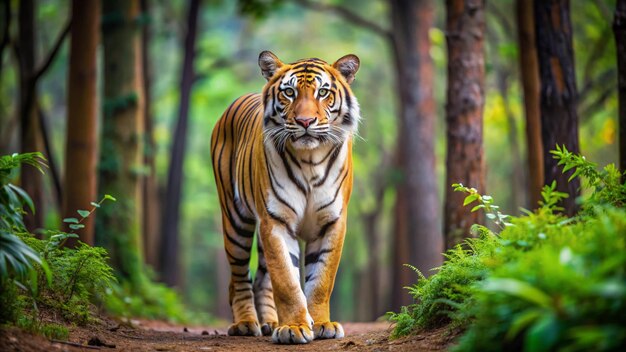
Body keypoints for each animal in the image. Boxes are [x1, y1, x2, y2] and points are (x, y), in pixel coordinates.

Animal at [210, 51, 358, 346]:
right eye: (289, 92)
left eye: (323, 92)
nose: (305, 122)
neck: (310, 159)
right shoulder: (275, 221)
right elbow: (287, 281)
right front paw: (293, 328)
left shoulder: (332, 222)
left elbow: (321, 279)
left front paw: (321, 324)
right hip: (235, 219)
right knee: (239, 277)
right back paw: (246, 324)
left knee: (262, 279)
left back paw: (270, 322)